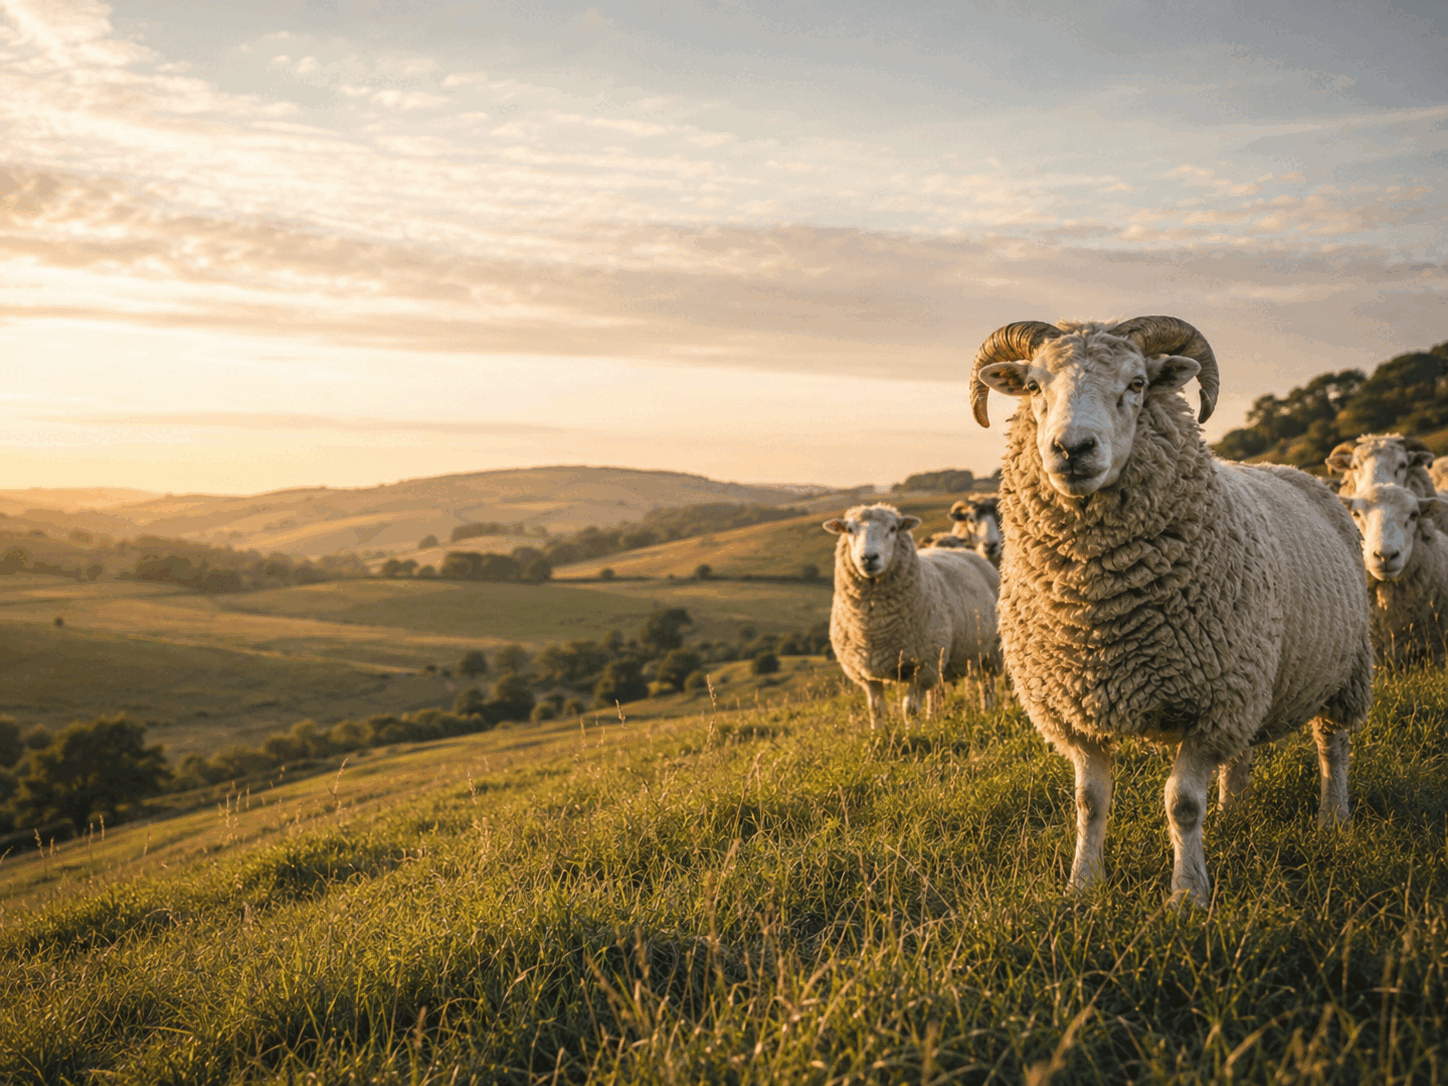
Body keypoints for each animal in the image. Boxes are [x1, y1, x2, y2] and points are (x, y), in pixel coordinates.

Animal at [825, 503, 1000, 725]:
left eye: (893, 529)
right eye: (849, 530)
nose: (869, 557)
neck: (875, 628)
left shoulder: (923, 666)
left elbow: (910, 710)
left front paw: (914, 731)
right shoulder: (866, 673)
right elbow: (876, 710)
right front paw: (878, 733)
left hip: (990, 650)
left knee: (987, 684)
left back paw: (988, 711)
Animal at [970, 315, 1372, 906]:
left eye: (1137, 384)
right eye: (1034, 385)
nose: (1072, 448)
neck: (1100, 612)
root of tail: (1291, 470)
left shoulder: (1210, 706)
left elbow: (1182, 804)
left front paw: (1187, 896)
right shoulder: (1078, 710)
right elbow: (1089, 802)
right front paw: (1083, 885)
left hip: (1342, 671)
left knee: (1333, 745)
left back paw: (1333, 818)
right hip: (1253, 679)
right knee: (1242, 753)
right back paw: (1232, 813)